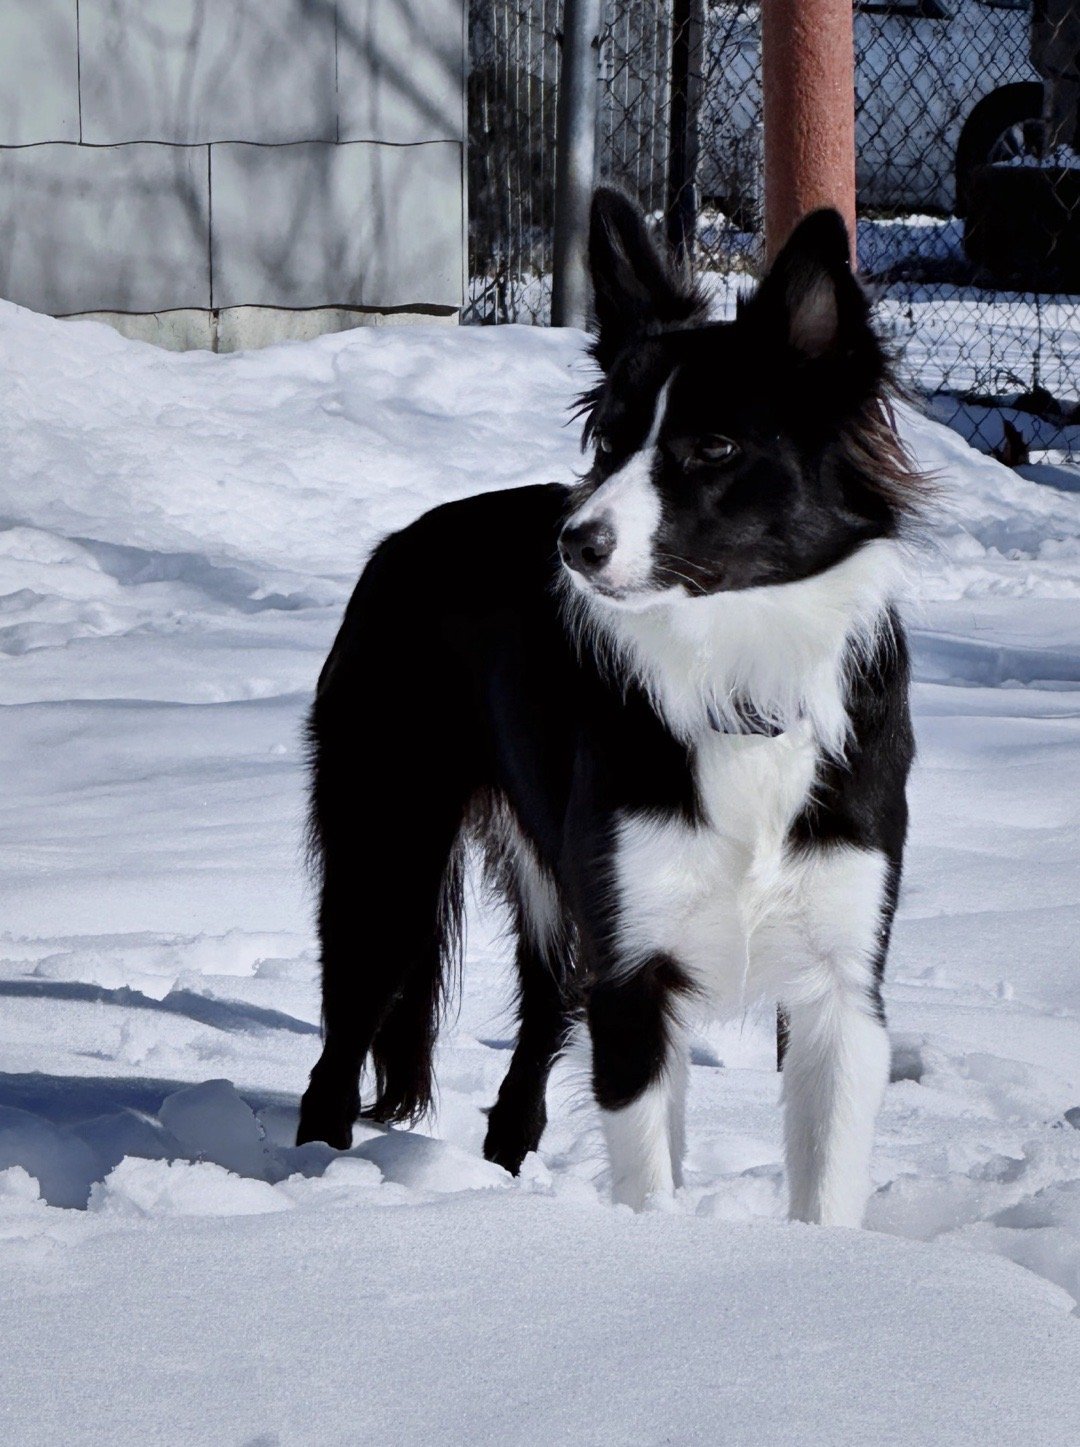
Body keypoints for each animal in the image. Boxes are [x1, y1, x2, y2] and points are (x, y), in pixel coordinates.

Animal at [293, 186, 914, 1227]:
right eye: (610, 444)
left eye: (713, 446)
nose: (573, 543)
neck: (740, 679)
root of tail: (397, 546)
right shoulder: (634, 970)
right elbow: (648, 1179)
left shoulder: (842, 984)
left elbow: (826, 1186)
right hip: (388, 857)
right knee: (337, 1052)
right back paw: (303, 1192)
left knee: (533, 1040)